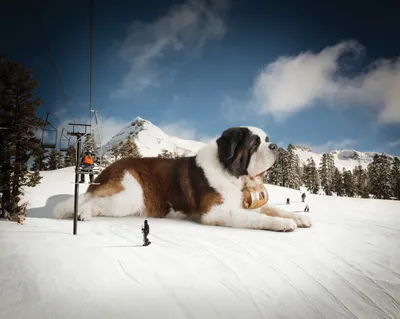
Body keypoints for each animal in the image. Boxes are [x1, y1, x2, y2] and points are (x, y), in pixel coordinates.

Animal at [53, 127, 310, 232]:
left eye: (267, 140)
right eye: (255, 143)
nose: (275, 147)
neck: (231, 173)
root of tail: (108, 169)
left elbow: (274, 209)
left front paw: (299, 217)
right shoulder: (216, 212)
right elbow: (256, 217)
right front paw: (284, 224)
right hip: (129, 196)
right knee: (91, 202)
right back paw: (82, 213)